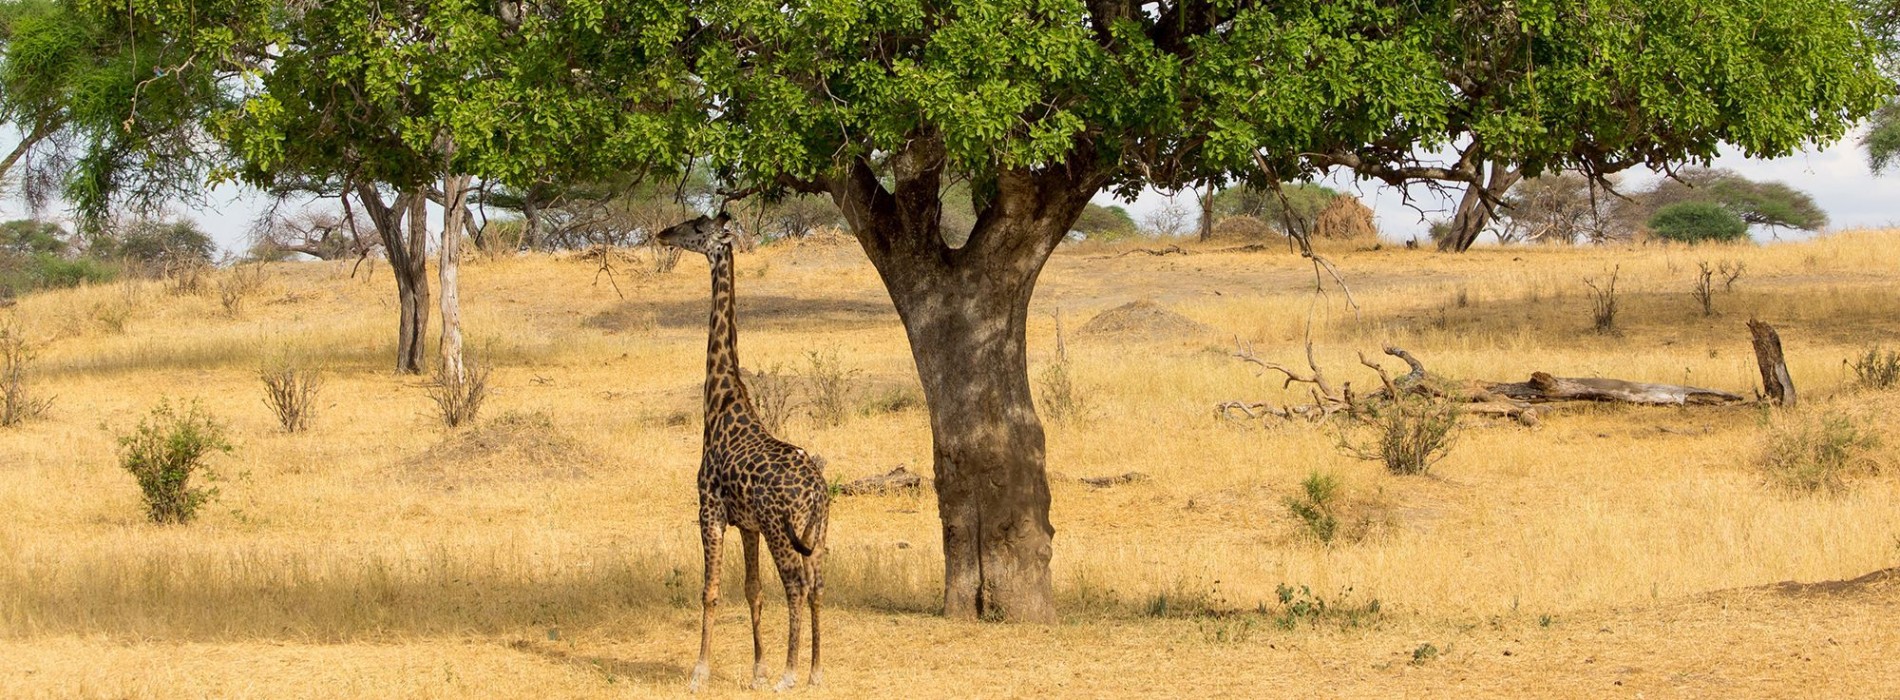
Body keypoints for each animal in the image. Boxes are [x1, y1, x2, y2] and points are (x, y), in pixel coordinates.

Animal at [657, 213, 828, 696]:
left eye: (697, 227)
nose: (663, 234)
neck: (721, 403)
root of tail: (818, 492)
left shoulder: (709, 511)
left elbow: (710, 591)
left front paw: (699, 672)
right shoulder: (747, 524)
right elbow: (753, 590)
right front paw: (758, 670)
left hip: (781, 530)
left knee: (796, 585)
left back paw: (791, 674)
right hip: (817, 532)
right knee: (817, 586)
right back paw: (814, 670)